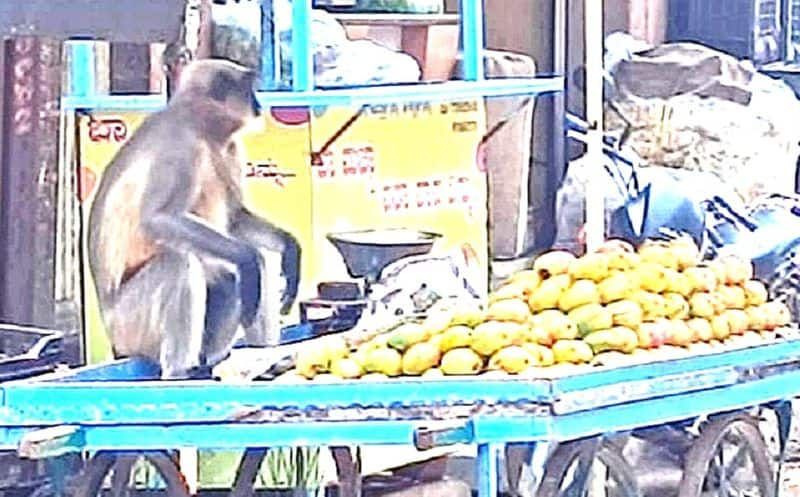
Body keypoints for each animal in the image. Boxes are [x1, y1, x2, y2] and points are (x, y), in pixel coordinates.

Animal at [86, 58, 300, 378]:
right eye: (249, 89)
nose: (259, 104)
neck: (201, 128)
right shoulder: (180, 145)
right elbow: (158, 219)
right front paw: (247, 260)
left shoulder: (230, 146)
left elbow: (235, 220)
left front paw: (290, 249)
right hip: (129, 326)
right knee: (181, 263)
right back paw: (180, 373)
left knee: (240, 272)